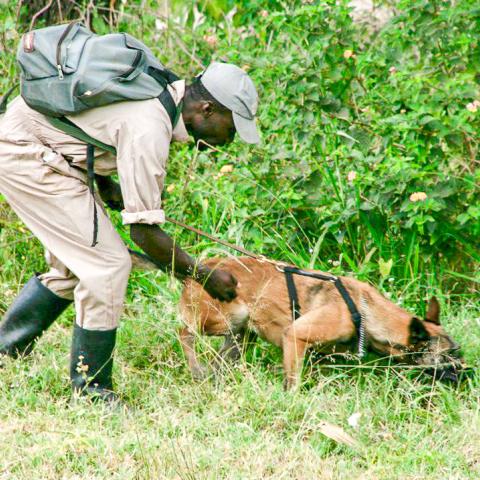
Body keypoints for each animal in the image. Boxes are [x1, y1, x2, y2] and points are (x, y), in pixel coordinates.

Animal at [177, 256, 464, 388]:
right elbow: (293, 381)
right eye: (448, 356)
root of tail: (196, 269)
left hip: (242, 334)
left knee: (220, 359)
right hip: (229, 317)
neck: (366, 311)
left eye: (458, 352)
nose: (467, 373)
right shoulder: (295, 335)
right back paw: (195, 366)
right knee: (184, 332)